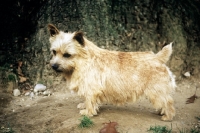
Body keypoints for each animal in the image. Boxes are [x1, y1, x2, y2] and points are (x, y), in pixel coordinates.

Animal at [47, 23, 176, 120]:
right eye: (54, 52)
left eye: (67, 55)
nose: (54, 66)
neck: (83, 61)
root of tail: (157, 57)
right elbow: (87, 99)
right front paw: (83, 105)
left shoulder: (91, 88)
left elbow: (89, 100)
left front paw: (88, 112)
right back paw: (161, 112)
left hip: (156, 91)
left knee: (168, 102)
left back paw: (167, 116)